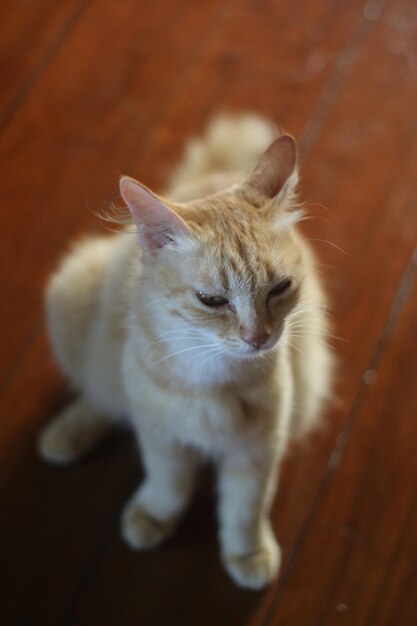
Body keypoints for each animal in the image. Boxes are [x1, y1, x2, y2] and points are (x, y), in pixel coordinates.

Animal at [39, 114, 332, 588]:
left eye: (280, 289)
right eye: (212, 300)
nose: (258, 338)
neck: (213, 376)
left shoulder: (259, 447)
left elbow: (245, 508)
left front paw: (248, 554)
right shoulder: (160, 436)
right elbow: (169, 486)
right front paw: (154, 518)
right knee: (100, 398)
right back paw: (65, 435)